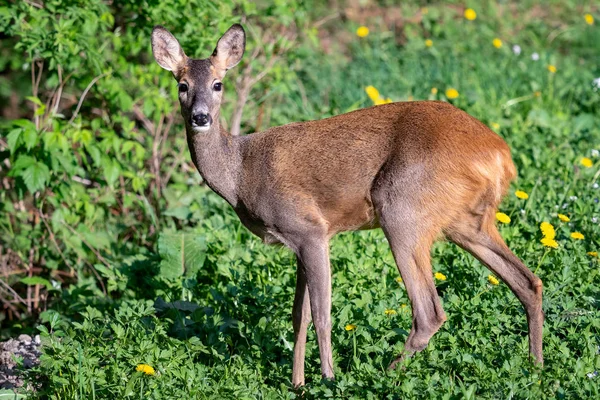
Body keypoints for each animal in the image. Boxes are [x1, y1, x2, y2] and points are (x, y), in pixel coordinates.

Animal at [150, 23, 544, 386]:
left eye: (218, 84)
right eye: (182, 85)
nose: (201, 117)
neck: (241, 172)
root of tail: (499, 154)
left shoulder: (310, 229)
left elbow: (322, 314)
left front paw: (326, 377)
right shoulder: (298, 240)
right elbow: (298, 316)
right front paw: (297, 384)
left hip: (403, 210)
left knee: (430, 311)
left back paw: (381, 375)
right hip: (467, 221)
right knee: (528, 281)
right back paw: (535, 367)